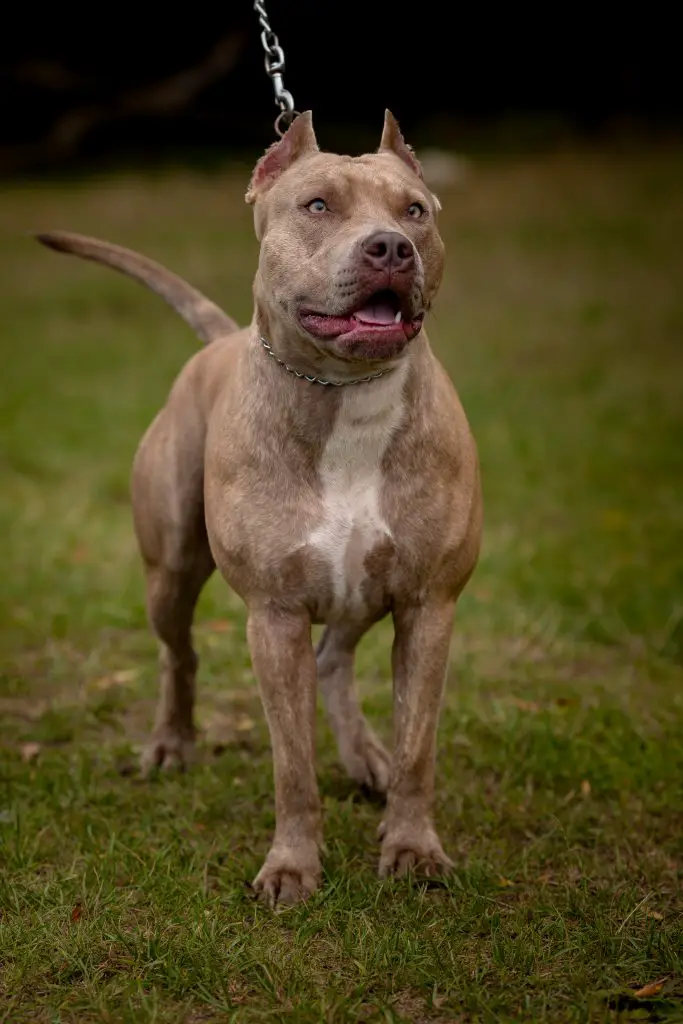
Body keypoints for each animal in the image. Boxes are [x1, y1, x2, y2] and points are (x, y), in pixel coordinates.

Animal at [36, 112, 481, 905]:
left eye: (415, 212)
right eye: (317, 206)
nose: (390, 247)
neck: (346, 395)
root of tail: (221, 340)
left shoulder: (429, 606)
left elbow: (418, 748)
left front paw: (412, 847)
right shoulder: (273, 616)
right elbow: (291, 765)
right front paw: (292, 866)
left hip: (360, 590)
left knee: (334, 661)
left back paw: (364, 756)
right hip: (171, 572)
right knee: (178, 654)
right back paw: (171, 745)